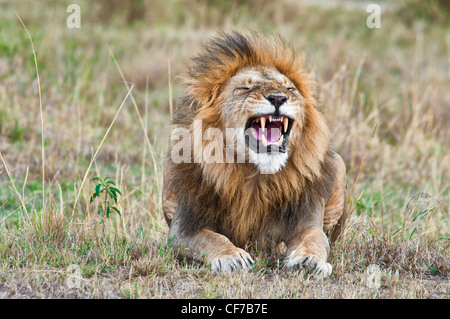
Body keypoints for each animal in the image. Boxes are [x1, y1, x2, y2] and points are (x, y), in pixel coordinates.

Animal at [163, 31, 348, 278]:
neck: (256, 176)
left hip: (339, 164)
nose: (278, 98)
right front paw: (232, 258)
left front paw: (308, 260)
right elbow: (211, 239)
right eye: (245, 89)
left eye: (290, 90)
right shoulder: (185, 227)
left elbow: (315, 239)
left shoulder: (305, 220)